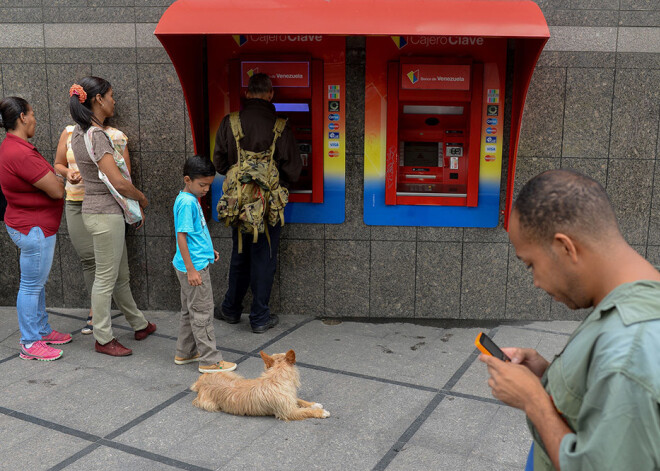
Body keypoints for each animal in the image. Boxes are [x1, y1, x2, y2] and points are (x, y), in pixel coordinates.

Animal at [192, 348, 330, 422]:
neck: (275, 378)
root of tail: (201, 382)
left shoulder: (290, 399)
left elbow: (300, 400)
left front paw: (313, 404)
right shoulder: (289, 412)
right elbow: (306, 411)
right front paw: (320, 412)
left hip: (234, 376)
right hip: (210, 405)